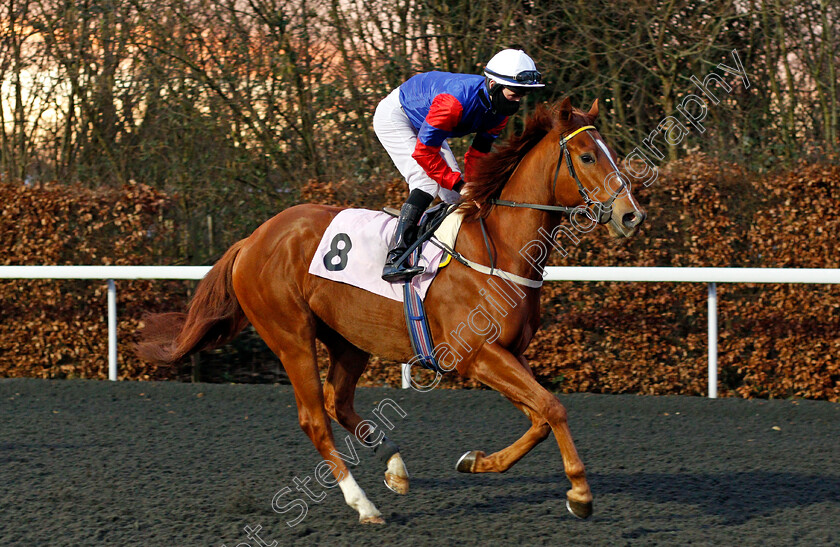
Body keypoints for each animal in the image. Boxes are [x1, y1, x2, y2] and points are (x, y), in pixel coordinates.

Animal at [138, 98, 648, 528]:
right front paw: (580, 494)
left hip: (348, 338)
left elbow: (541, 417)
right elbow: (553, 407)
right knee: (314, 418)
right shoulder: (477, 355)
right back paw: (363, 504)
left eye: (610, 150)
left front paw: (478, 462)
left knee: (337, 402)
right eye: (587, 156)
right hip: (291, 336)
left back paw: (395, 467)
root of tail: (252, 239)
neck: (496, 248)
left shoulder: (509, 353)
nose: (631, 215)